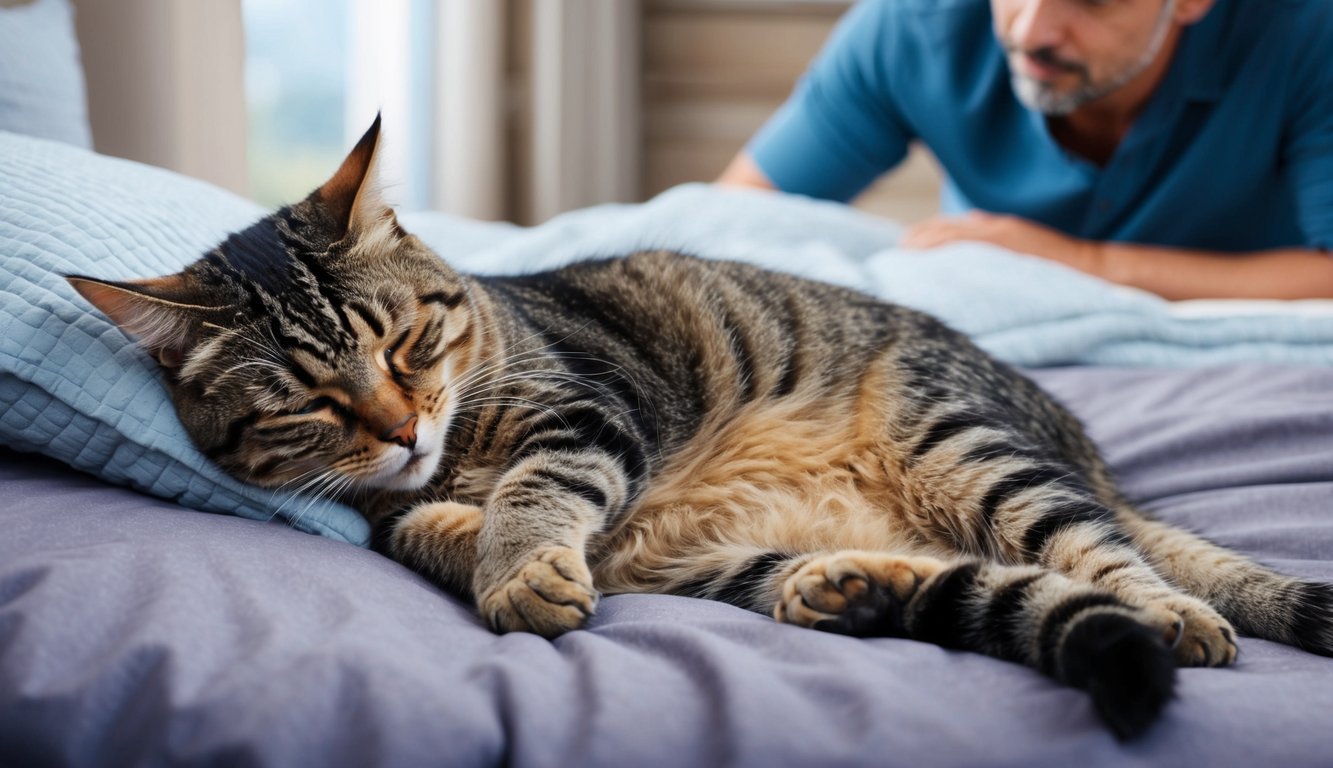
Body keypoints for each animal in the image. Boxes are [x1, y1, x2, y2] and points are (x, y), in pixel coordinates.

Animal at [67, 118, 1333, 736]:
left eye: (404, 346)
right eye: (311, 402)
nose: (399, 429)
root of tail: (1089, 455)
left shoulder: (587, 410)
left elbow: (533, 491)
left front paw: (514, 561)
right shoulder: (402, 508)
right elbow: (427, 527)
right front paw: (482, 549)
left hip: (959, 442)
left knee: (1112, 558)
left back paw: (1174, 615)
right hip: (712, 558)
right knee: (952, 575)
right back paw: (842, 589)